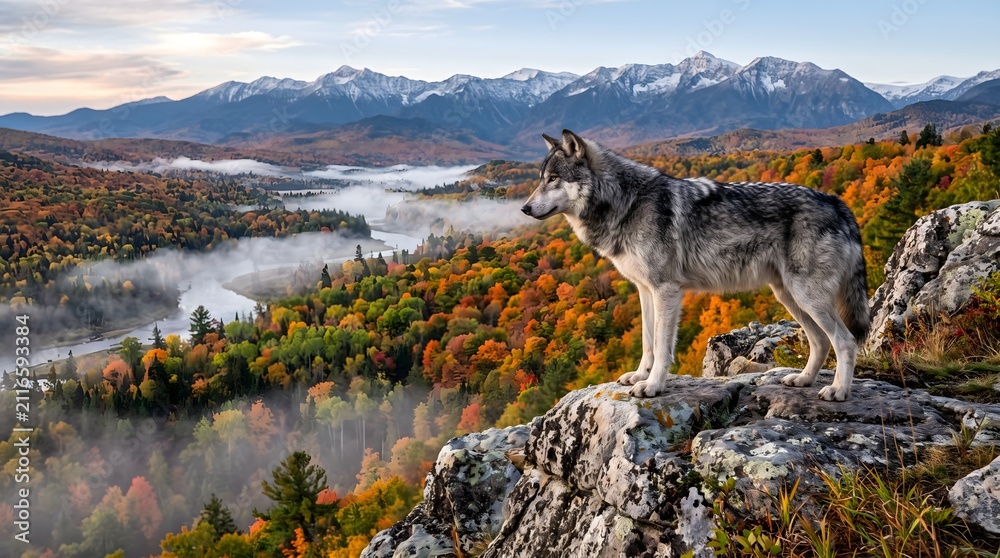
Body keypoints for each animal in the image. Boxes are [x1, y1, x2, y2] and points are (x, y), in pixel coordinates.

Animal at [521, 130, 869, 401]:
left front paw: (653, 386)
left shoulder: (666, 291)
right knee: (820, 341)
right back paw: (804, 379)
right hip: (789, 296)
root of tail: (839, 204)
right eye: (541, 180)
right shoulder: (644, 291)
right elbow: (647, 342)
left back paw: (838, 390)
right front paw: (639, 376)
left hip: (806, 296)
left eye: (553, 179)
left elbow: (662, 346)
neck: (627, 203)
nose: (523, 208)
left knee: (844, 341)